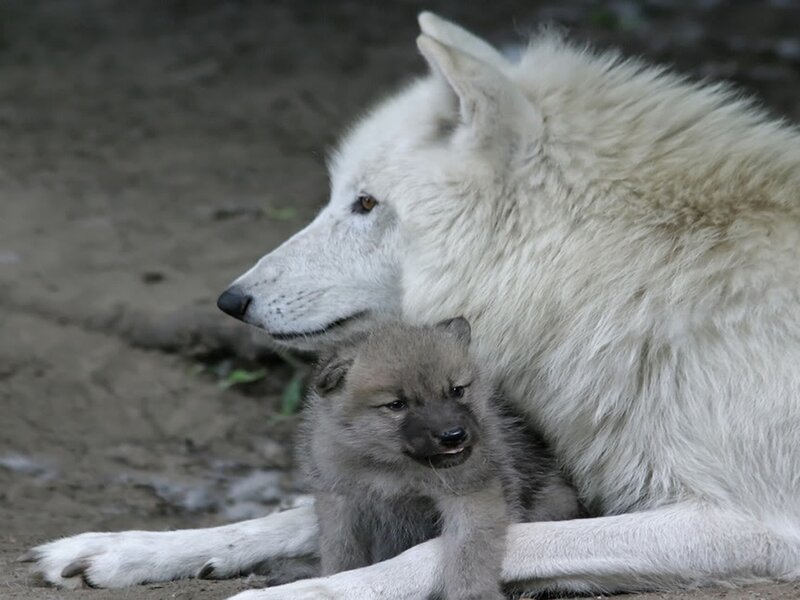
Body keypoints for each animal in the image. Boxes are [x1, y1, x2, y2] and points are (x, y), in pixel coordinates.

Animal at [301, 318, 581, 600]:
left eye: (457, 390)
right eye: (396, 405)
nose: (453, 436)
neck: (391, 469)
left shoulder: (471, 495)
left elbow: (469, 554)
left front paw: (473, 594)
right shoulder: (339, 502)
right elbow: (341, 551)